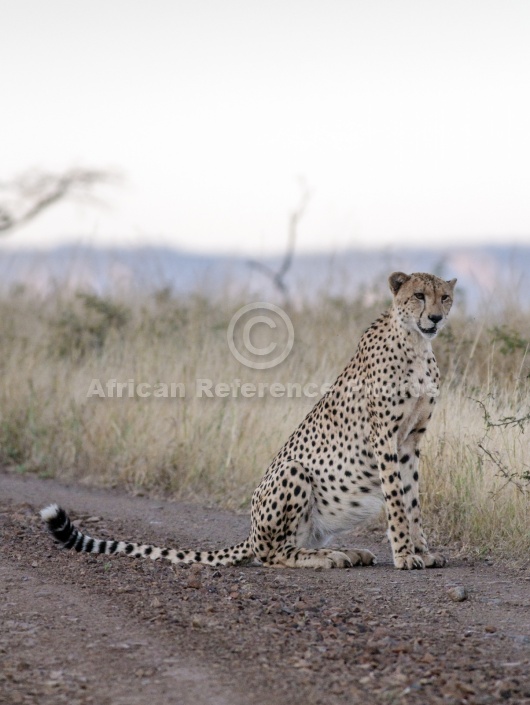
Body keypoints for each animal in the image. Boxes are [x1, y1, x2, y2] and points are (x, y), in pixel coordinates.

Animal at [41, 272, 454, 568]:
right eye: (419, 295)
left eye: (445, 297)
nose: (435, 317)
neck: (417, 343)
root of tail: (251, 530)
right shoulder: (384, 436)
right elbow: (397, 500)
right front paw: (404, 555)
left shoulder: (410, 440)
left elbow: (412, 498)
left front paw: (421, 550)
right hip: (293, 471)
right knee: (273, 554)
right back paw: (332, 558)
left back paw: (347, 553)